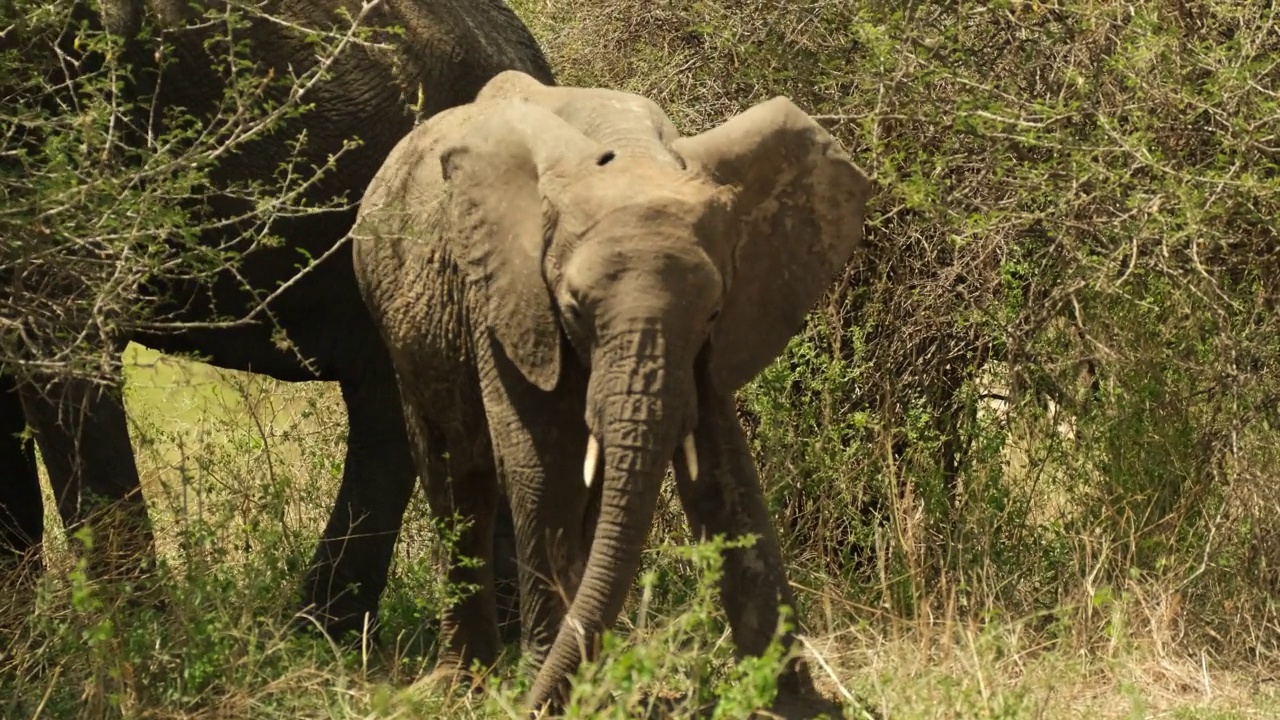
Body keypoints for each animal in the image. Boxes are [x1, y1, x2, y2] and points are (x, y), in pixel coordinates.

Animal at [350, 68, 870, 712]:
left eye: (713, 311)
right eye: (574, 308)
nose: (527, 704)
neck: (630, 149)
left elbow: (726, 473)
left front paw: (796, 706)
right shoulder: (506, 293)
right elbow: (544, 465)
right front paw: (550, 697)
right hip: (401, 325)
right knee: (453, 471)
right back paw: (459, 682)